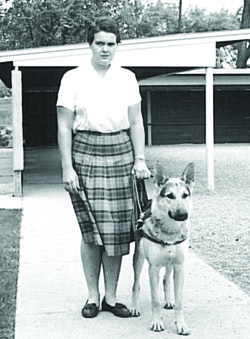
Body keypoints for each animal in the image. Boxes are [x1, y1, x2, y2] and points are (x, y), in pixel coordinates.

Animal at [131, 163, 195, 336]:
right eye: (170, 196)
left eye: (185, 195)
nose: (183, 215)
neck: (170, 232)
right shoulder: (153, 269)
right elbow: (155, 300)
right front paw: (157, 322)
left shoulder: (179, 268)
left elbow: (179, 302)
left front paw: (181, 324)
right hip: (138, 259)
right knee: (136, 284)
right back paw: (134, 307)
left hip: (170, 264)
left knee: (166, 280)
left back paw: (168, 300)